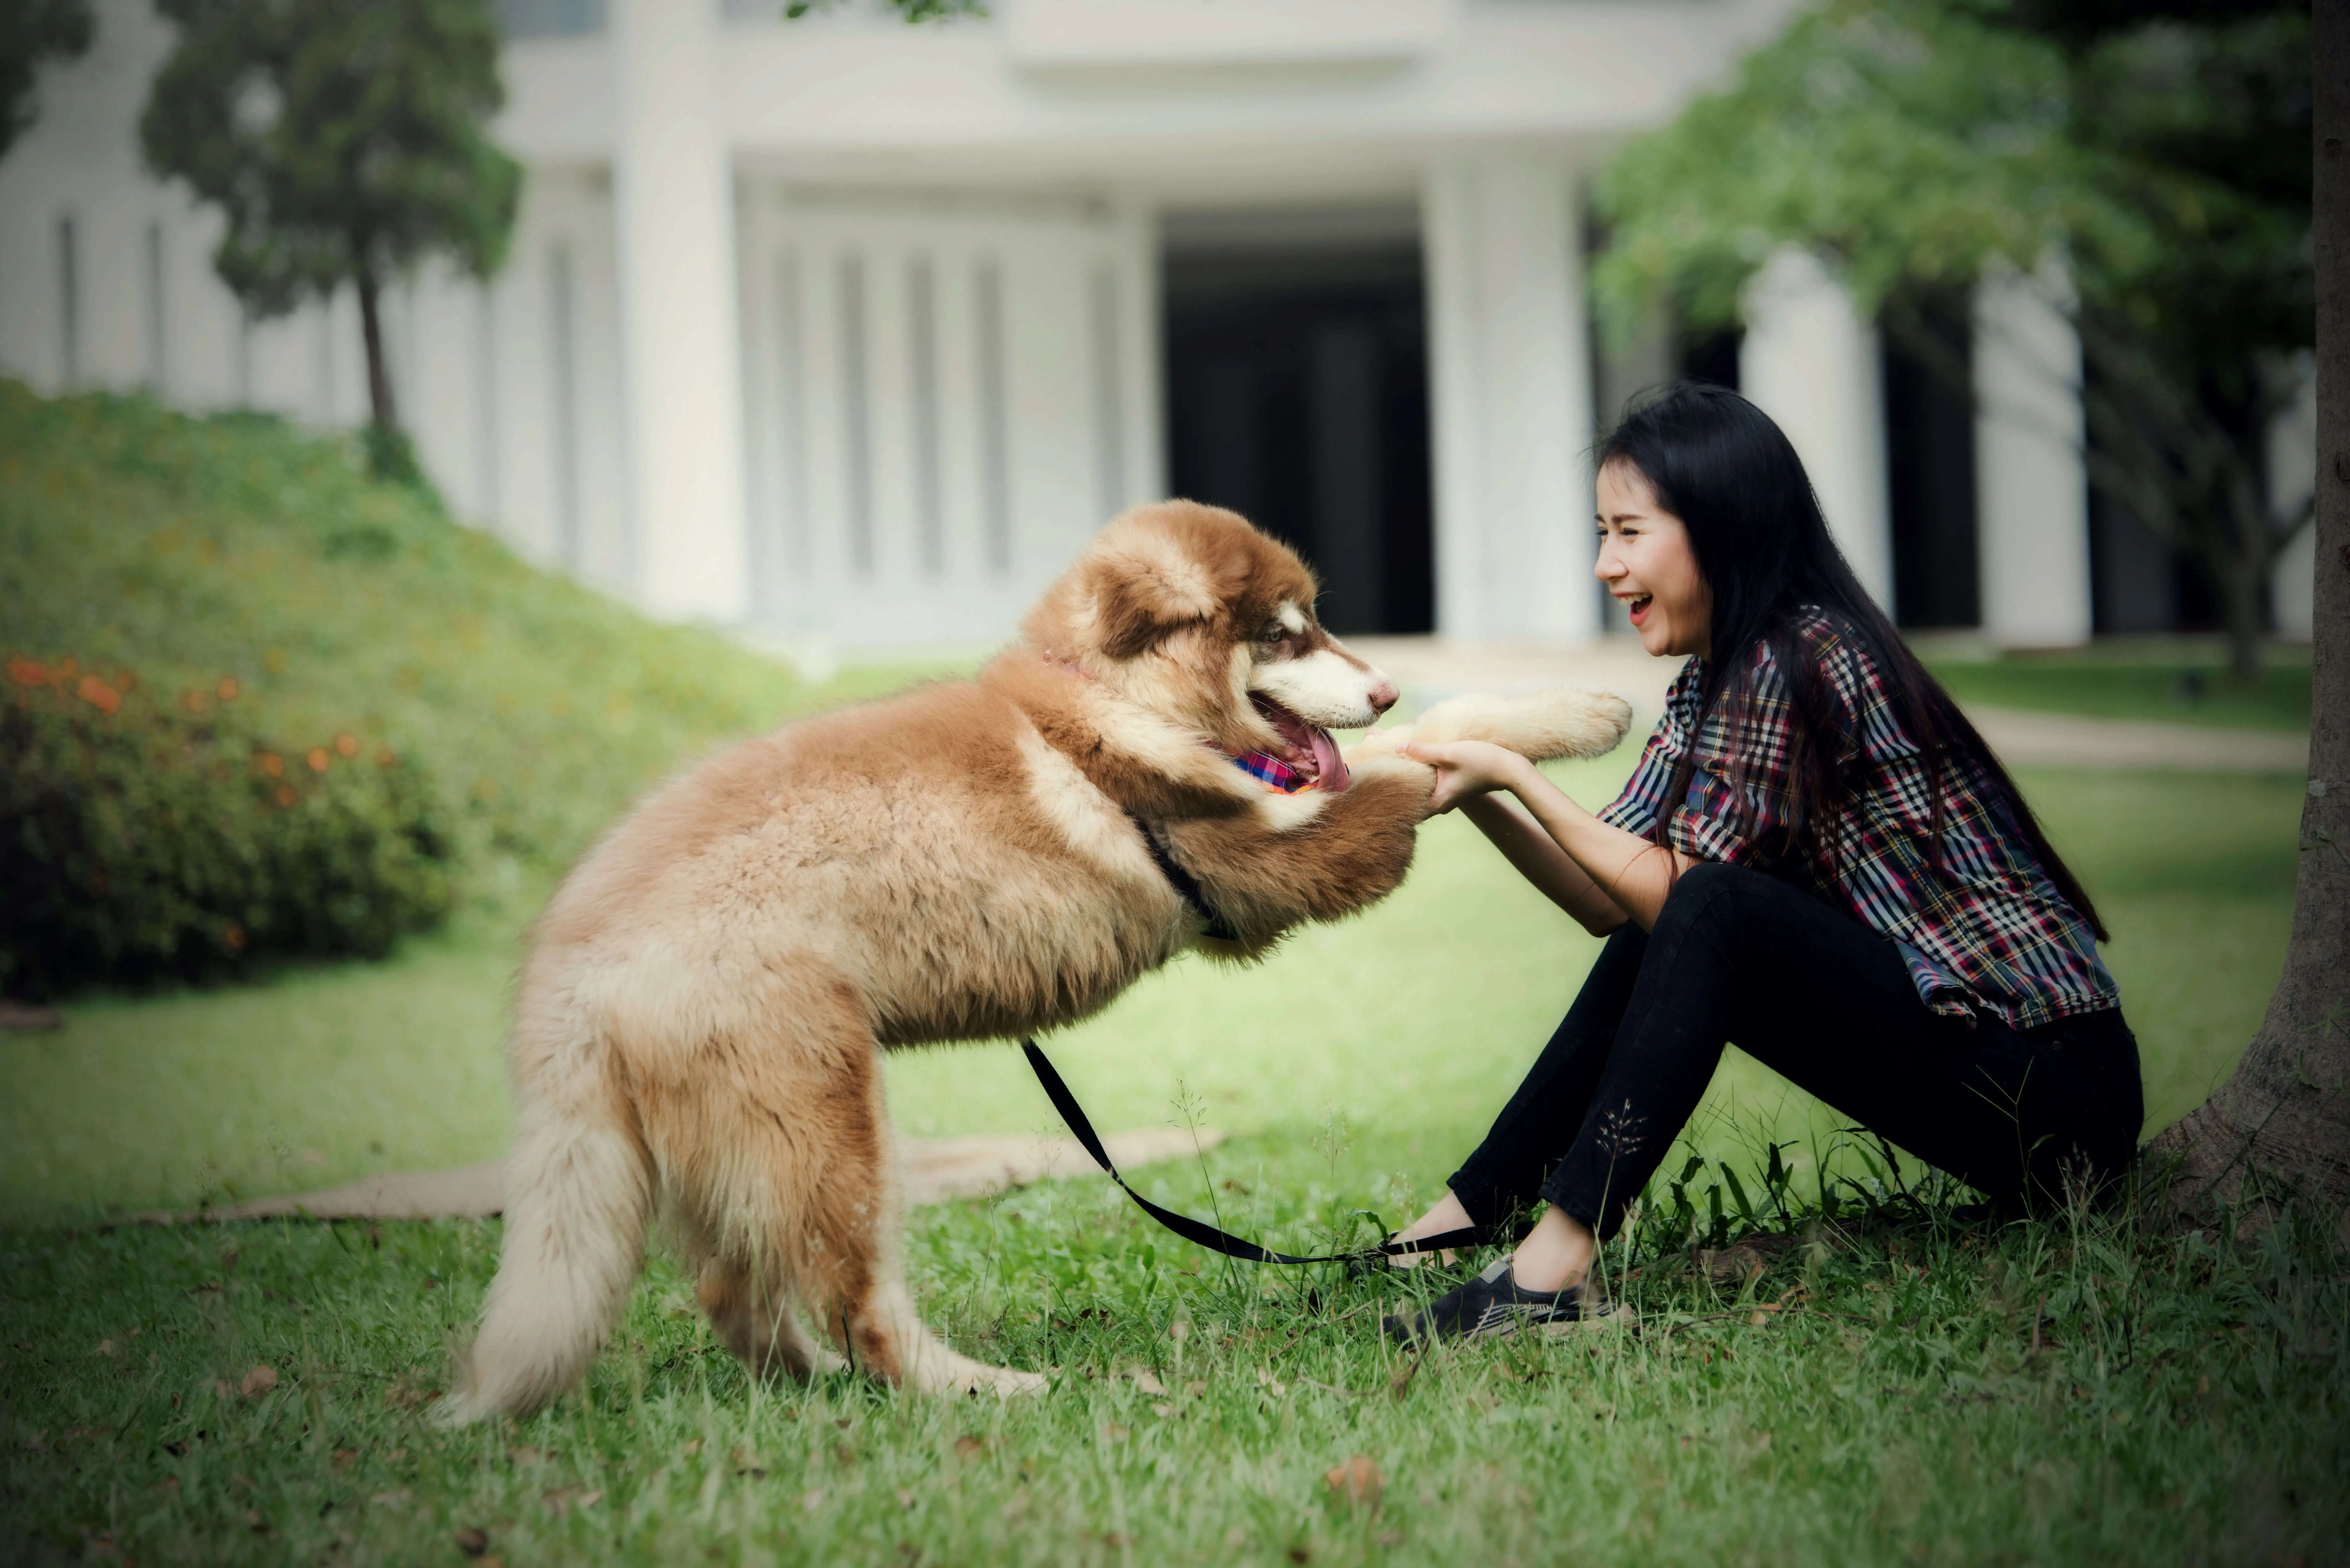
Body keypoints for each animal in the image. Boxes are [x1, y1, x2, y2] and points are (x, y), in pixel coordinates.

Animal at [432, 503, 1626, 1420]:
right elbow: (1419, 761)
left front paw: (1573, 708)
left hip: (726, 1135)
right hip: (824, 1116)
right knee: (855, 1300)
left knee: (738, 1289)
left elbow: (1427, 734)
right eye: (1284, 636)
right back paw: (974, 1387)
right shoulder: (1272, 865)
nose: (1379, 686)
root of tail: (568, 959)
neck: (1114, 705)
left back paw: (808, 1386)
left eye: (1320, 622)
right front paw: (1547, 721)